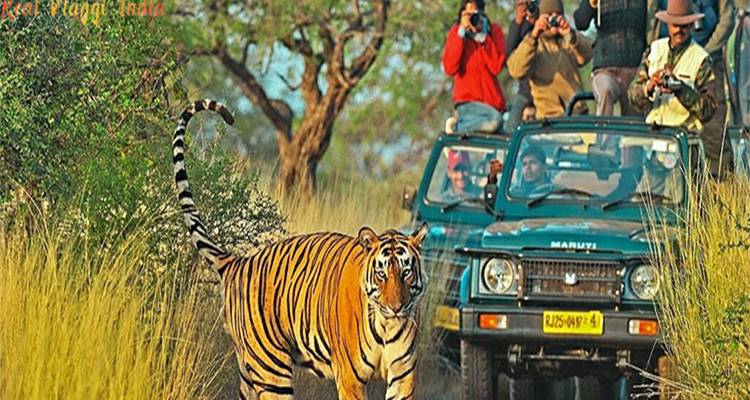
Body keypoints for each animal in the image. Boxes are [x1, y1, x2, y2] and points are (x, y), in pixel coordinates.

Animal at [171, 99, 428, 400]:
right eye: (381, 274)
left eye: (406, 273)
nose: (396, 308)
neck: (386, 326)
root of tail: (238, 263)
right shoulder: (350, 378)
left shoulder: (403, 376)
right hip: (271, 370)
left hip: (247, 370)